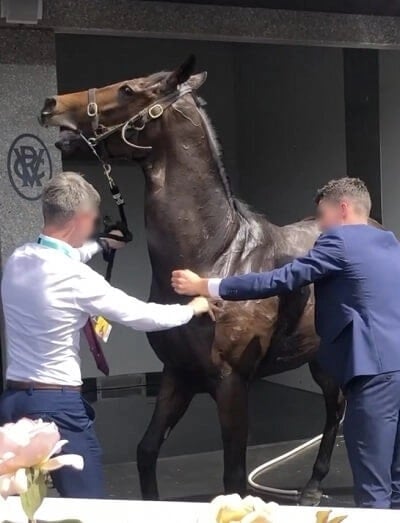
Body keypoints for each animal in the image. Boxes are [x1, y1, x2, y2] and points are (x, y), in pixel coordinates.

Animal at [41, 55, 346, 506]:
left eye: (128, 89)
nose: (52, 103)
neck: (216, 255)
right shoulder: (177, 375)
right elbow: (146, 451)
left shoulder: (231, 383)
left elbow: (233, 476)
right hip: (319, 357)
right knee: (336, 405)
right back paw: (311, 486)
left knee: (337, 405)